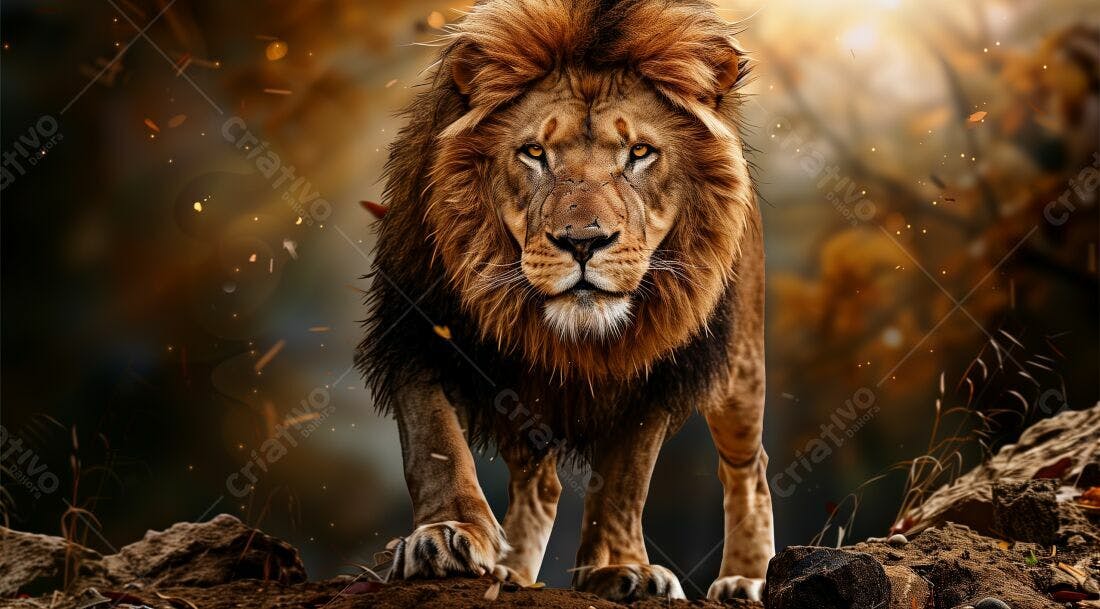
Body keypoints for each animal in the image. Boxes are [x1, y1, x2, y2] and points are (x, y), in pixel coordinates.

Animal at [357, 0, 773, 601]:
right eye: (535, 153)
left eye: (640, 153)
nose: (583, 242)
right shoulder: (416, 329)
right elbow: (434, 442)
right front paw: (448, 534)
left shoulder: (653, 374)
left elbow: (624, 480)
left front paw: (619, 568)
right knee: (541, 484)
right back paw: (509, 570)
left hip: (740, 369)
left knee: (748, 465)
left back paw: (746, 579)